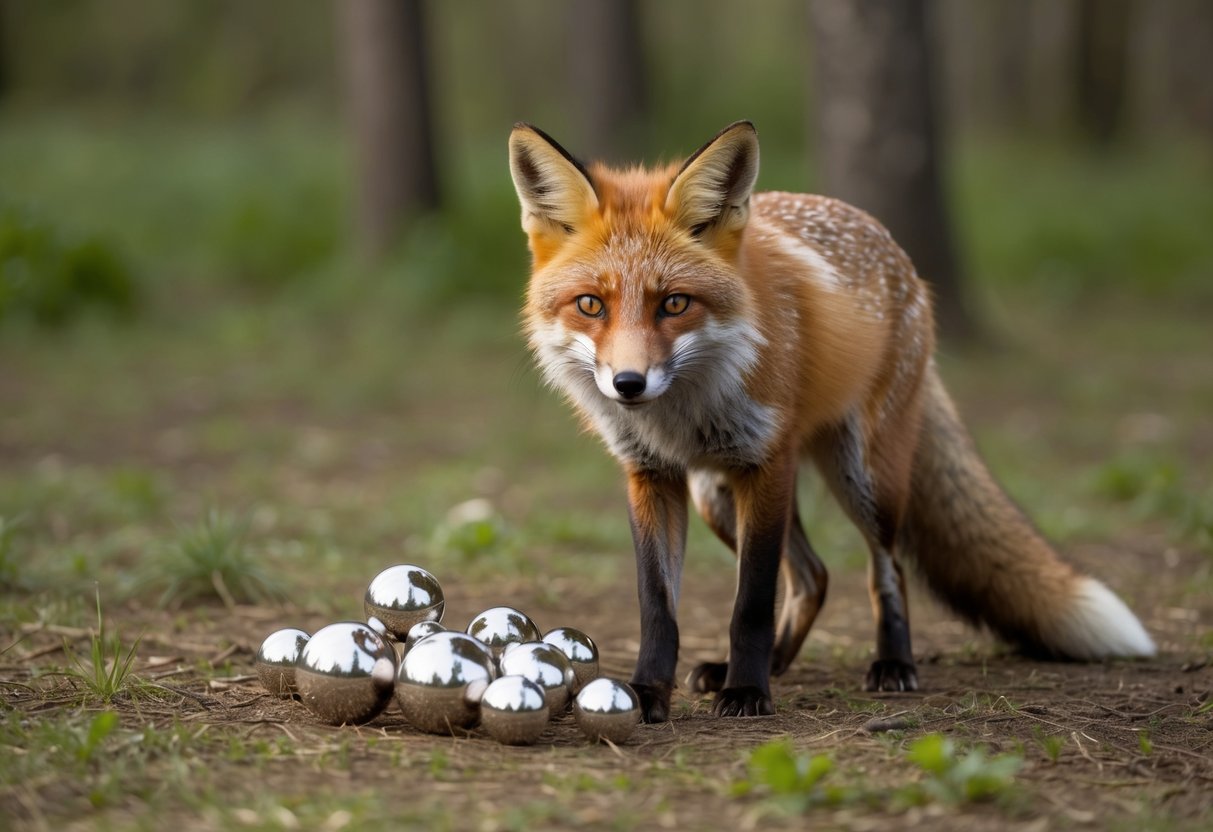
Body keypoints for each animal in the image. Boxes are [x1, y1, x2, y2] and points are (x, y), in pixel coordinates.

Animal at [507, 120, 1156, 721]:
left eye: (674, 303)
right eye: (591, 305)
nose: (628, 384)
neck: (683, 415)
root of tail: (891, 246)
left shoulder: (766, 462)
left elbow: (751, 601)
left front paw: (748, 693)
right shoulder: (652, 475)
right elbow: (658, 606)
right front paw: (646, 693)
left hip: (864, 479)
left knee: (883, 569)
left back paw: (891, 663)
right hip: (716, 494)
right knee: (813, 576)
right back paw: (769, 664)